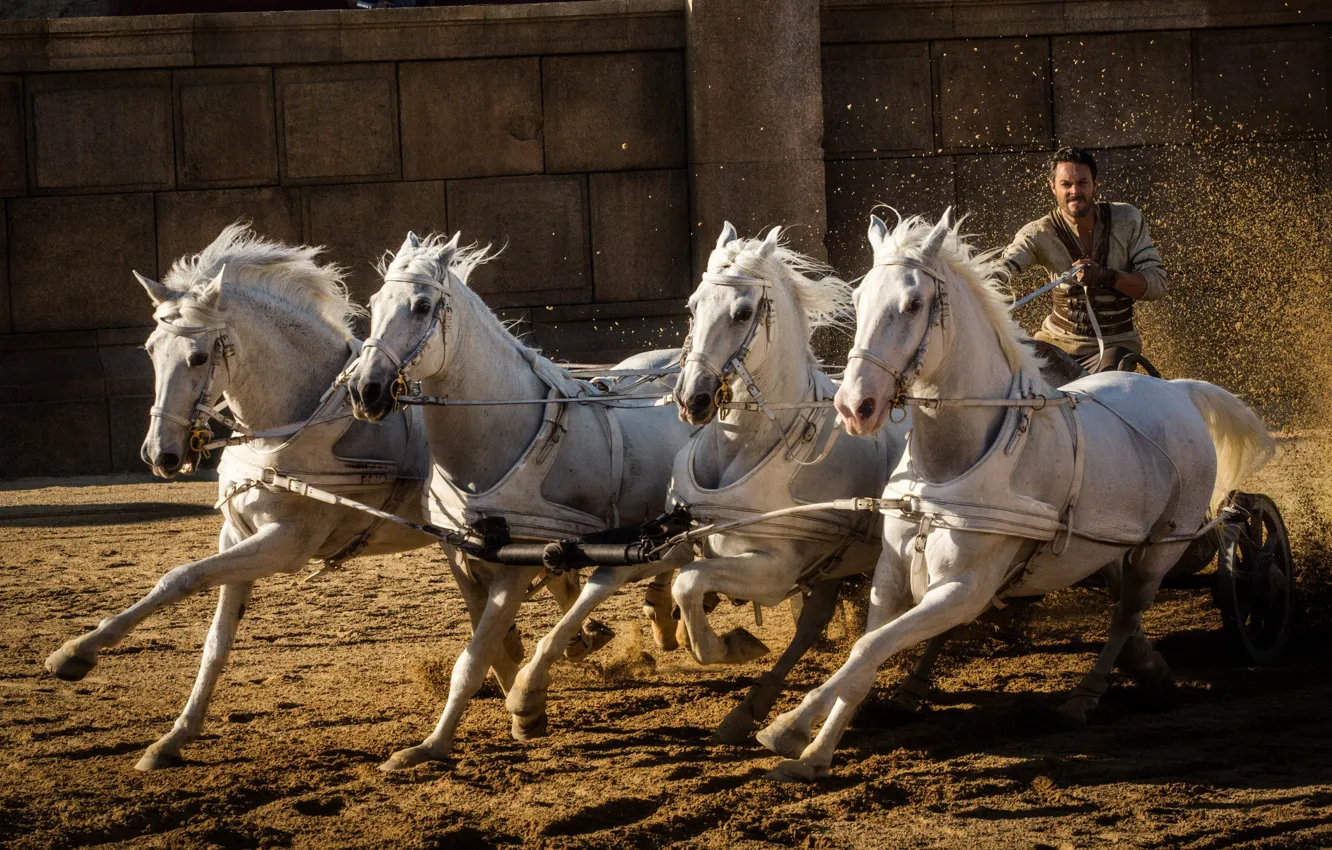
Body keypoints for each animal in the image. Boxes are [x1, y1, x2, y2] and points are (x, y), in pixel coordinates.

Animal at [343, 233, 697, 772]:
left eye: (422, 306)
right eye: (374, 302)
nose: (366, 390)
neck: (500, 432)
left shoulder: (517, 560)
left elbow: (472, 660)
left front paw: (451, 738)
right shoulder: (462, 555)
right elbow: (491, 649)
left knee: (647, 563)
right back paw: (648, 619)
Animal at [671, 225, 911, 746]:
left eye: (742, 312)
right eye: (693, 305)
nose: (692, 399)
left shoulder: (775, 569)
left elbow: (689, 582)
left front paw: (734, 644)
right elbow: (679, 579)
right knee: (811, 626)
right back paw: (748, 711)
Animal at [756, 214, 1273, 788]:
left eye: (913, 304)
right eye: (861, 296)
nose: (853, 405)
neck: (949, 467)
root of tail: (1177, 390)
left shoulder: (965, 589)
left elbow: (871, 647)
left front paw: (786, 726)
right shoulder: (890, 576)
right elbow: (863, 655)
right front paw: (815, 754)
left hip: (1160, 549)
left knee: (1125, 615)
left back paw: (1083, 699)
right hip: (1108, 548)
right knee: (1123, 607)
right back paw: (1147, 671)